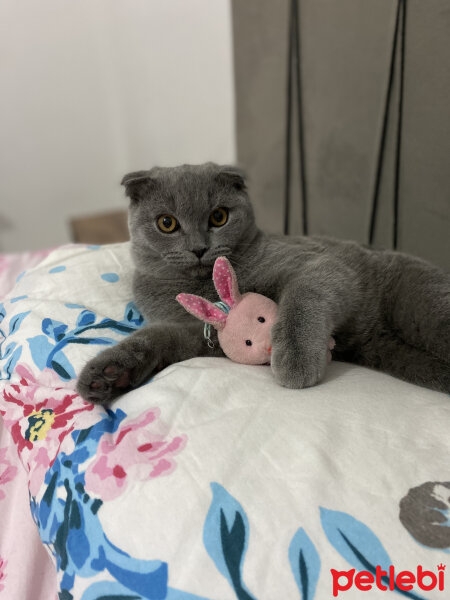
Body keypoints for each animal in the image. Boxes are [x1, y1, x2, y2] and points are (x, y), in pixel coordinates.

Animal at [77, 163, 450, 404]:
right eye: (166, 223)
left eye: (219, 217)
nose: (198, 248)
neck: (204, 287)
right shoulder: (200, 333)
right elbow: (159, 337)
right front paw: (108, 373)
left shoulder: (319, 264)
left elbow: (302, 296)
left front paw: (296, 358)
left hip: (425, 304)